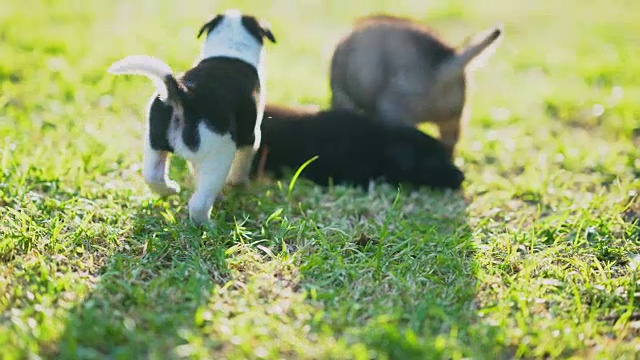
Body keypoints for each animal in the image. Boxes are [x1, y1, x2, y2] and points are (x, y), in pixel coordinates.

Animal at [108, 9, 278, 225]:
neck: (230, 48)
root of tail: (183, 93)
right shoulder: (251, 136)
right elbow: (243, 163)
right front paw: (238, 185)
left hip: (154, 144)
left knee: (153, 176)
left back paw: (170, 188)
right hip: (219, 156)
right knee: (198, 203)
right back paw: (208, 225)